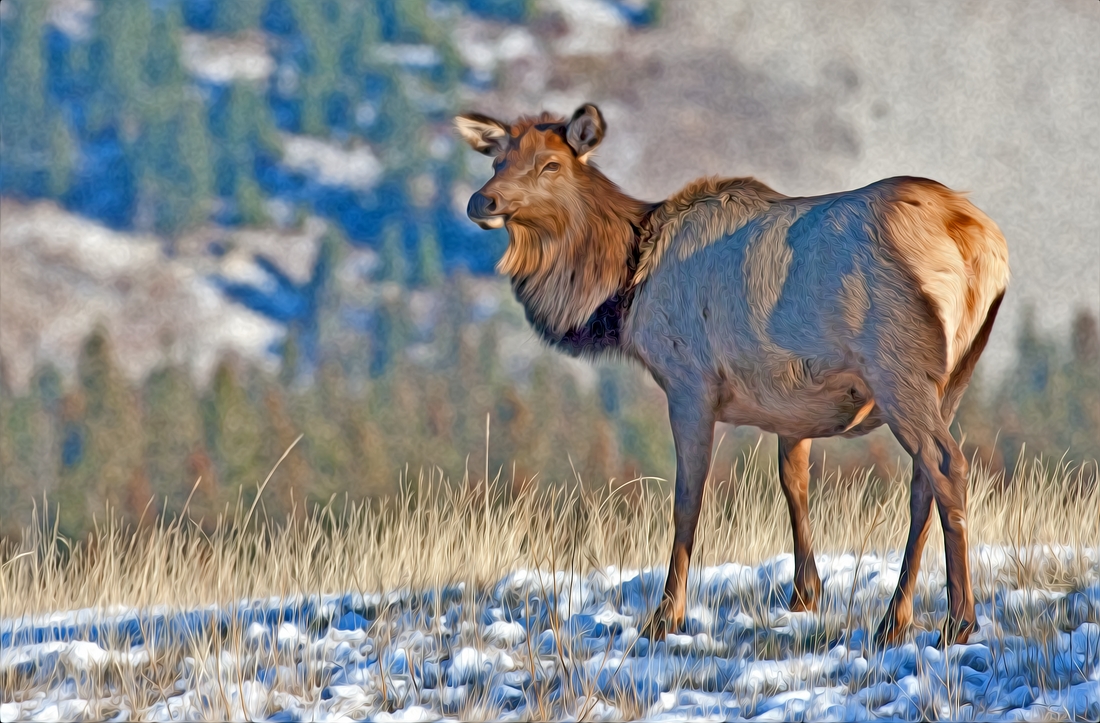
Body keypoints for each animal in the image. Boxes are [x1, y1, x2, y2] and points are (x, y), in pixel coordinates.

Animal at [453, 104, 1007, 647]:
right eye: (497, 159)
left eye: (550, 164)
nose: (482, 201)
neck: (624, 289)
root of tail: (977, 242)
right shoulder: (793, 403)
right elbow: (794, 484)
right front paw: (803, 595)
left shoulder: (687, 380)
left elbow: (687, 499)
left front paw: (665, 616)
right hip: (956, 372)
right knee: (922, 481)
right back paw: (896, 618)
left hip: (897, 363)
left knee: (945, 464)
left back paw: (958, 620)